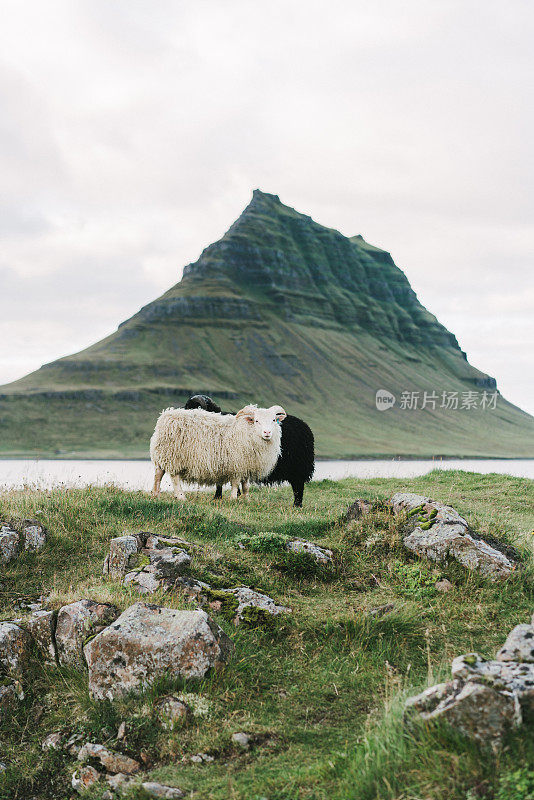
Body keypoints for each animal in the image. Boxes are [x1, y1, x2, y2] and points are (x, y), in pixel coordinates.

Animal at [151, 406, 286, 500]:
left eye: (273, 420)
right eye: (256, 421)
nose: (267, 432)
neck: (246, 430)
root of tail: (165, 416)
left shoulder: (247, 465)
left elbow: (245, 484)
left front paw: (246, 498)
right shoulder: (236, 465)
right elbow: (235, 483)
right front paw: (233, 498)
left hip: (163, 455)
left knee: (158, 474)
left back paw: (155, 494)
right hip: (174, 456)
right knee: (175, 478)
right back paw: (181, 497)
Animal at [186, 394, 316, 506]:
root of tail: (306, 427)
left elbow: (222, 483)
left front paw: (219, 497)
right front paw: (233, 496)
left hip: (299, 468)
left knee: (298, 487)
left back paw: (297, 505)